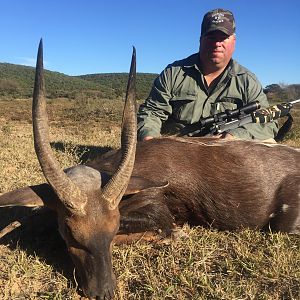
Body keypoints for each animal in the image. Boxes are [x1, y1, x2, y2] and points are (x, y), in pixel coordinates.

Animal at [0, 40, 300, 300]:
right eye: (70, 233)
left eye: (112, 231)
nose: (103, 292)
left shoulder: (157, 209)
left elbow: (160, 228)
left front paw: (173, 235)